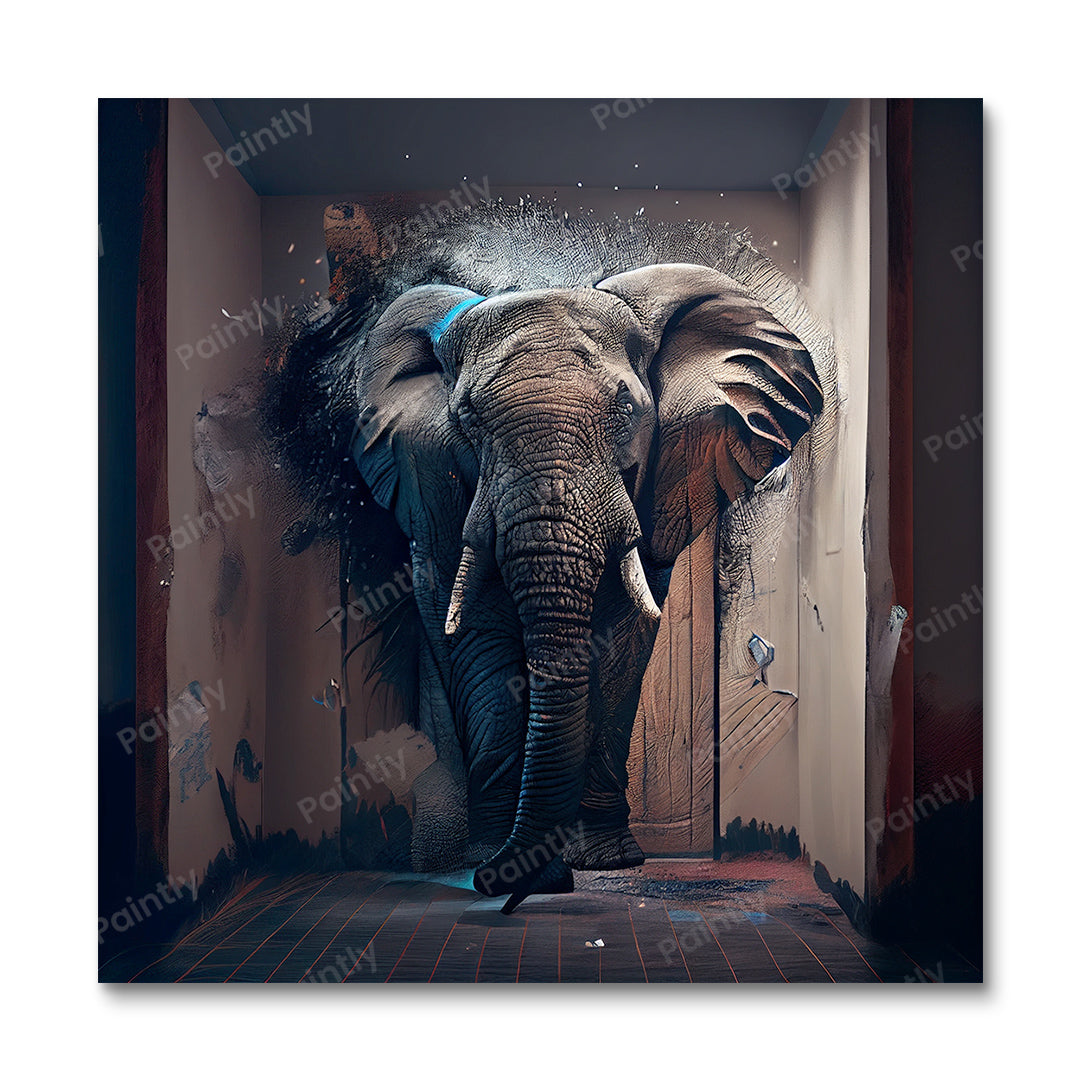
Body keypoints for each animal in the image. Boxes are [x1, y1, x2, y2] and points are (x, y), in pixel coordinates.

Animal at [265, 202, 830, 912]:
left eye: (626, 409)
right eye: (467, 418)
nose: (521, 887)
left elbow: (621, 631)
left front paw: (603, 862)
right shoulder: (434, 483)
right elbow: (474, 634)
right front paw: (490, 861)